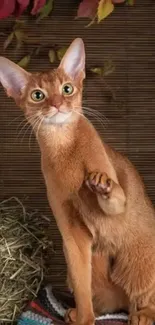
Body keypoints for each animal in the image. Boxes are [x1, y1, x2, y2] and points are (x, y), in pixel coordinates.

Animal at [0, 38, 155, 325]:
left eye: (67, 89)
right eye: (38, 95)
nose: (58, 104)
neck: (64, 148)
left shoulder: (118, 204)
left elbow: (114, 196)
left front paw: (101, 185)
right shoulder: (71, 234)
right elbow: (82, 286)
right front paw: (84, 318)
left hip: (139, 264)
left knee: (145, 298)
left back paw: (143, 315)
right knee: (107, 302)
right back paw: (77, 312)